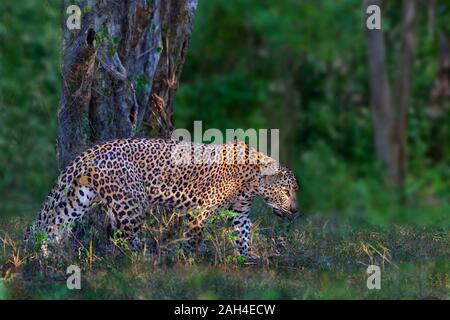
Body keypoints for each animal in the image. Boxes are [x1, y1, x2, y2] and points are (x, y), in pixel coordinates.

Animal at [25, 138, 298, 258]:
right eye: (286, 192)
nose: (296, 211)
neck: (252, 181)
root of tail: (98, 148)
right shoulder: (202, 209)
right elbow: (194, 238)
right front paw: (189, 262)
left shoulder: (240, 210)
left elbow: (243, 235)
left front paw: (248, 259)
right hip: (131, 204)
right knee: (123, 238)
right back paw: (140, 263)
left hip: (79, 198)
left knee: (49, 226)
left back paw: (42, 256)